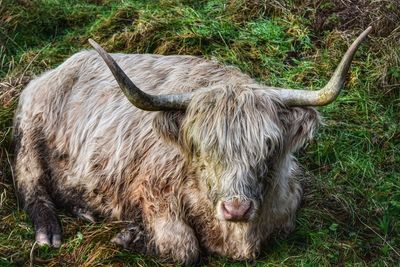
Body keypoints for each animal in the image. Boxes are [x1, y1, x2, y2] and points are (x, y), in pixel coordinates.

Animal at [13, 28, 372, 264]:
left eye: (268, 146)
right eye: (201, 148)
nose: (236, 208)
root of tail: (59, 68)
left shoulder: (289, 206)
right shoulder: (151, 191)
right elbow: (183, 248)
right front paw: (131, 236)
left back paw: (84, 211)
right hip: (30, 137)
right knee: (31, 184)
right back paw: (49, 233)